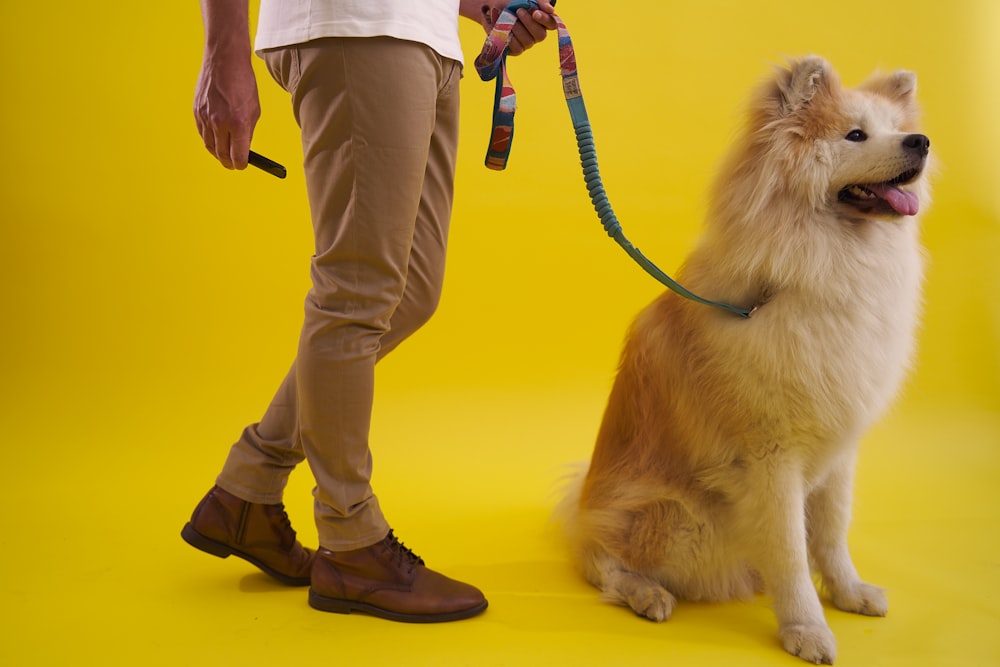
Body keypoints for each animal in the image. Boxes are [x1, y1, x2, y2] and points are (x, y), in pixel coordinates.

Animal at [560, 54, 932, 664]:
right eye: (855, 135)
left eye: (898, 129)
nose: (920, 142)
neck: (826, 269)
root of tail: (582, 504)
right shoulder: (771, 457)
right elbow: (789, 552)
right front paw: (807, 628)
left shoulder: (838, 445)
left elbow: (832, 533)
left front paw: (848, 593)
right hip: (675, 517)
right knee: (603, 563)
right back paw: (647, 594)